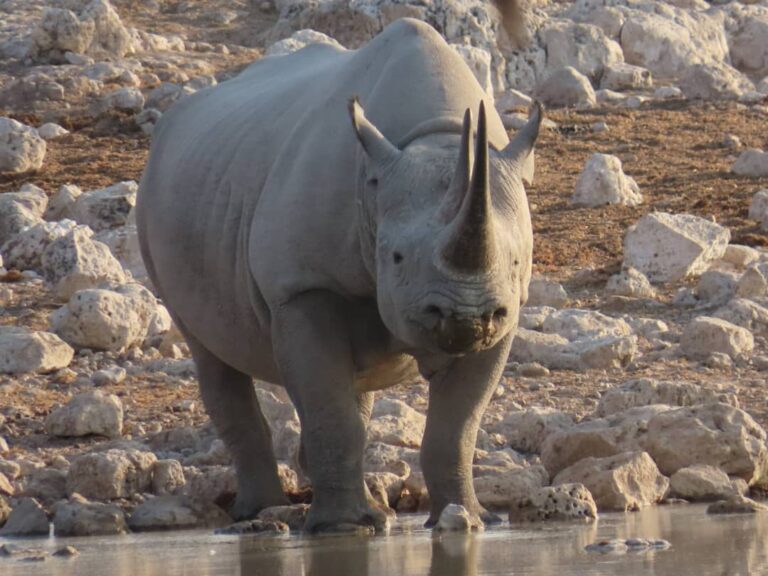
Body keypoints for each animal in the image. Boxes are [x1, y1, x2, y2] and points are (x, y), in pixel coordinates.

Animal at [137, 18, 541, 533]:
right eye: (396, 258)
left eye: (515, 261)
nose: (465, 316)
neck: (433, 138)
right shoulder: (301, 286)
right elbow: (330, 409)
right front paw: (340, 528)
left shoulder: (506, 308)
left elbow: (458, 425)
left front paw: (468, 520)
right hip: (156, 204)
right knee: (212, 355)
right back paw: (265, 511)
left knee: (354, 387)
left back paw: (373, 511)